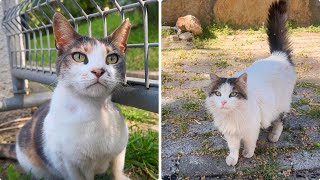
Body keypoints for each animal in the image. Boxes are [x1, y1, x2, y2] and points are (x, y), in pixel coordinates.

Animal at [0, 11, 131, 179]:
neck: (93, 110)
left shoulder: (120, 147)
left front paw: (120, 175)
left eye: (112, 58)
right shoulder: (68, 164)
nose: (98, 70)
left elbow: (117, 168)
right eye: (79, 56)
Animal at [205, 0, 298, 166]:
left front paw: (248, 154)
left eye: (233, 94)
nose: (223, 102)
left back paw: (273, 136)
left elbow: (249, 143)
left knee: (280, 121)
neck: (232, 115)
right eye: (218, 93)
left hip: (280, 104)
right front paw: (232, 159)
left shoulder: (251, 128)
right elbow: (233, 147)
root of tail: (278, 55)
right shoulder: (230, 132)